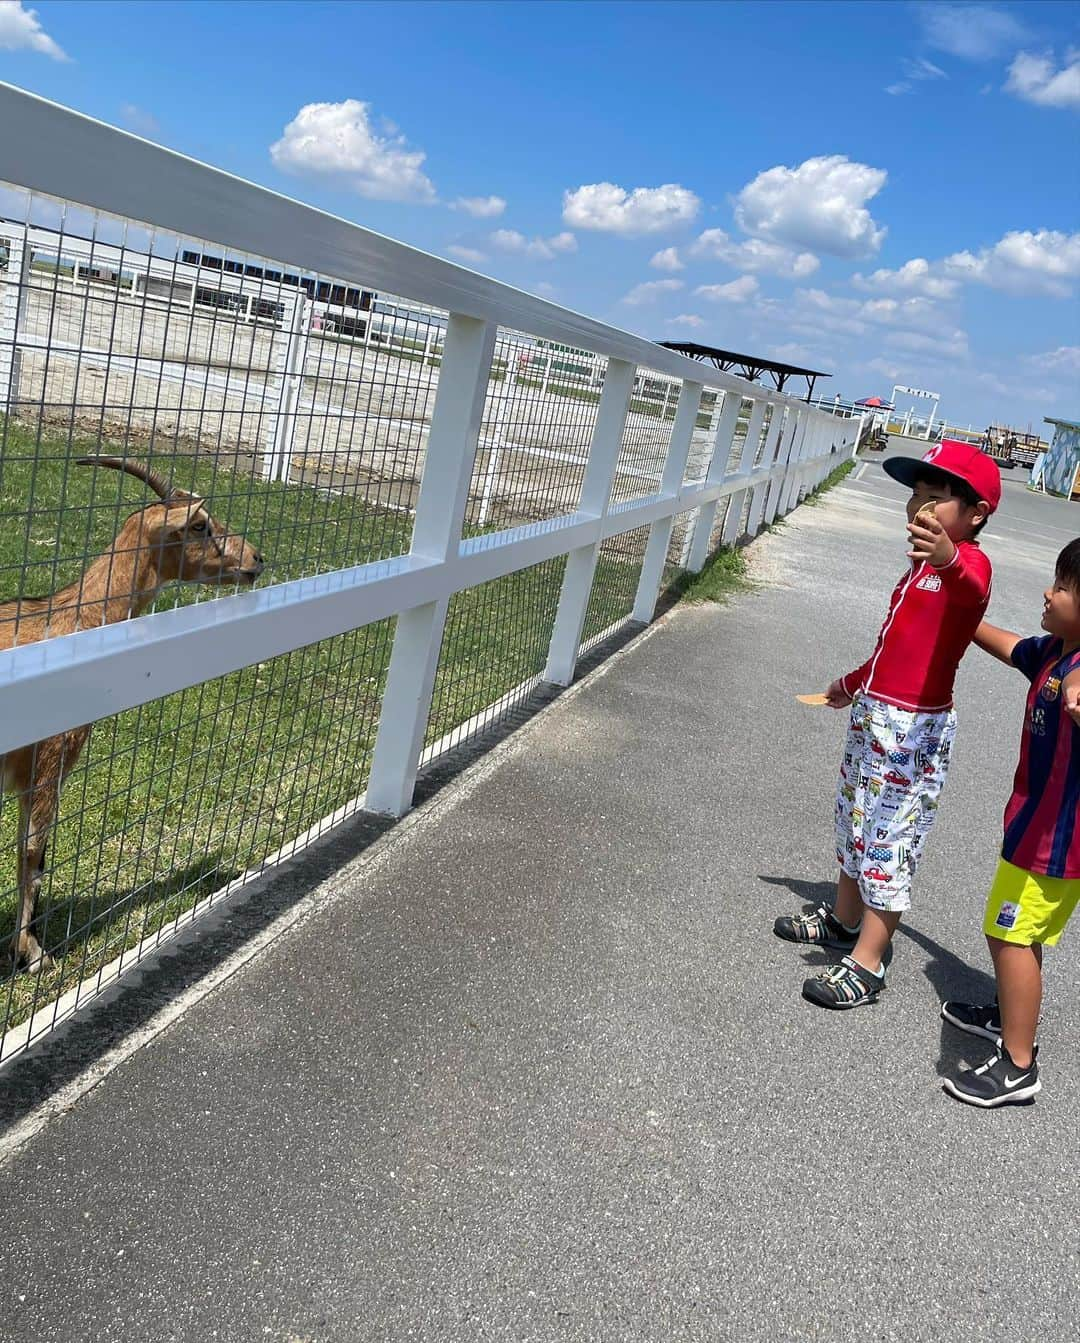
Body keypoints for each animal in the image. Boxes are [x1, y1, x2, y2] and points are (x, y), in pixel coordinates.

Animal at [1, 456, 263, 972]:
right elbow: (34, 852)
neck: (71, 621)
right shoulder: (49, 760)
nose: (256, 559)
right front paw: (32, 954)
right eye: (199, 525)